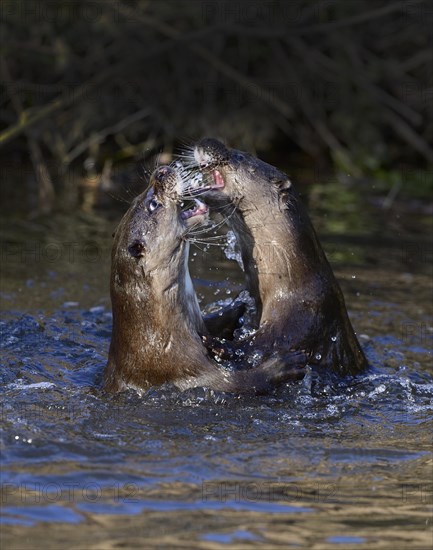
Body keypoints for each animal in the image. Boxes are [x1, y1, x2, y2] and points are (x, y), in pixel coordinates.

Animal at [103, 166, 306, 394]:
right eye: (153, 204)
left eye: (138, 197)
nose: (161, 171)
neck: (159, 340)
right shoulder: (191, 373)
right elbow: (243, 383)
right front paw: (283, 365)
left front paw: (239, 305)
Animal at [191, 140, 366, 378]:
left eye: (240, 157)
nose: (207, 141)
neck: (293, 281)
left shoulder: (302, 321)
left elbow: (258, 347)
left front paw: (217, 345)